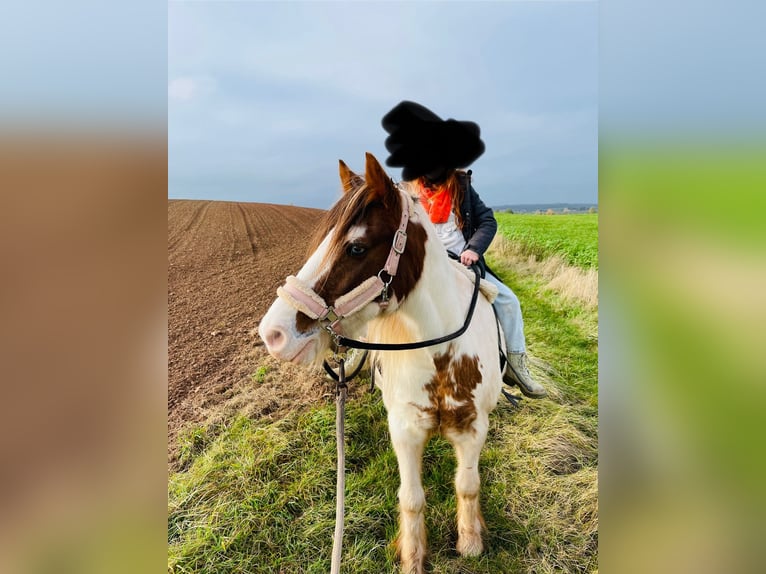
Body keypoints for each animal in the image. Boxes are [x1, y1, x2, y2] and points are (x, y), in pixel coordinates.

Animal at [260, 153, 508, 574]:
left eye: (357, 248)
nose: (272, 334)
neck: (441, 353)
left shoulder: (473, 428)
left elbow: (467, 485)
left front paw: (470, 542)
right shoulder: (405, 431)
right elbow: (411, 498)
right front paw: (413, 558)